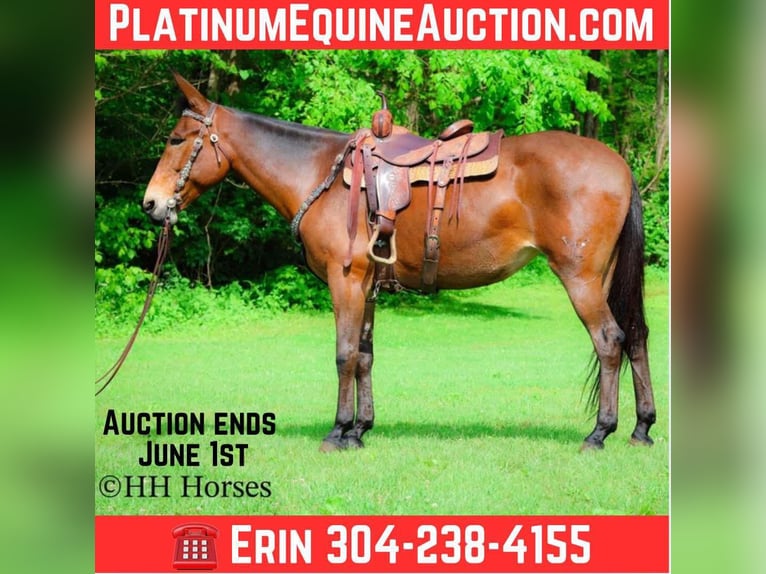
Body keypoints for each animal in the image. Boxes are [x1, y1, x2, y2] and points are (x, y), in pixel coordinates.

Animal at [141, 72, 656, 451]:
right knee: (634, 337)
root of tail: (620, 165)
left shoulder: (345, 281)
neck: (321, 176)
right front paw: (360, 430)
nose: (151, 204)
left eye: (176, 139)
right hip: (606, 277)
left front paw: (337, 431)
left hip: (580, 278)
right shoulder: (366, 285)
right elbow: (365, 356)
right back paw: (641, 427)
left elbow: (344, 354)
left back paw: (600, 432)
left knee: (610, 341)